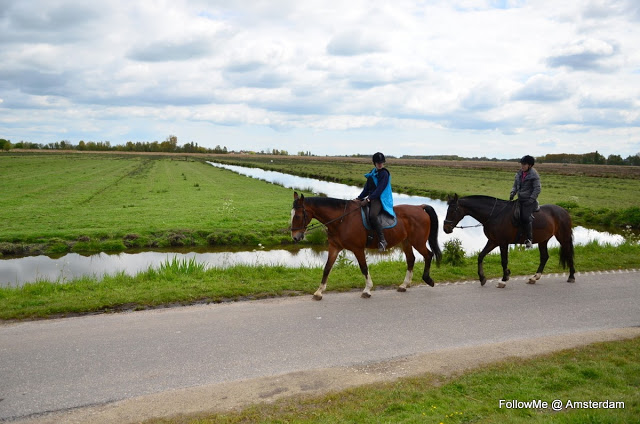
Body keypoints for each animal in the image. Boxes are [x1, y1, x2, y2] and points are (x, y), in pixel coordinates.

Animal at [290, 190, 440, 300]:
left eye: (297, 216)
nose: (295, 237)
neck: (342, 219)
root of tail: (420, 207)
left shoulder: (358, 249)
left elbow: (363, 268)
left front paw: (367, 290)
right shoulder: (334, 247)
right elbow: (327, 268)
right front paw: (319, 292)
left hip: (418, 242)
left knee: (428, 255)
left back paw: (428, 280)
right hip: (406, 242)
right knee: (411, 259)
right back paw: (404, 285)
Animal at [444, 195, 576, 288]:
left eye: (453, 210)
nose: (446, 228)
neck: (495, 214)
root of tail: (564, 211)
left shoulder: (503, 243)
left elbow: (504, 260)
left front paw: (504, 279)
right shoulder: (493, 241)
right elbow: (480, 256)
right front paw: (482, 278)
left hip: (563, 237)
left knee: (568, 254)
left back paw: (571, 276)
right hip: (543, 240)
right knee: (544, 257)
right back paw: (534, 278)